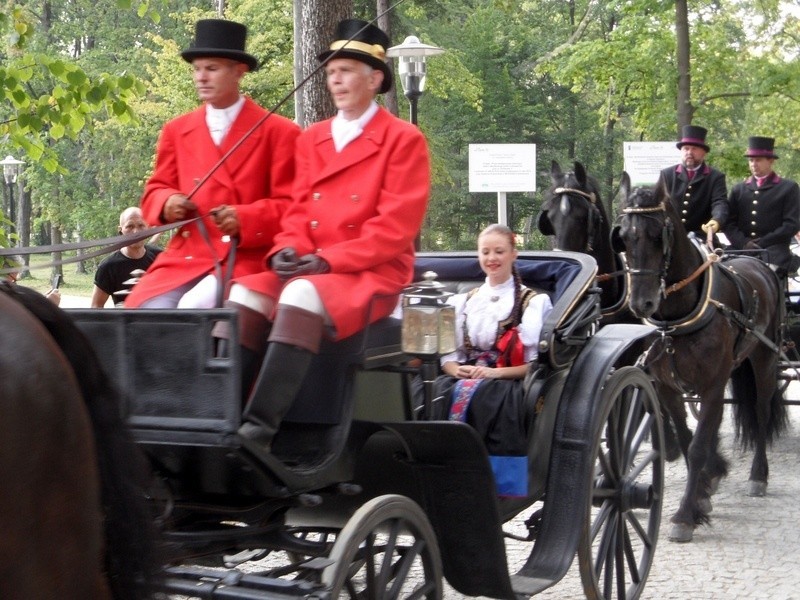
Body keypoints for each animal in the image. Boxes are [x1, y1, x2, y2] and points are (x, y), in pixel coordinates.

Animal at [612, 172, 788, 544]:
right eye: (623, 237)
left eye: (658, 235)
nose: (641, 303)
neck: (676, 320)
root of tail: (757, 261)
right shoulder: (667, 387)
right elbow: (686, 436)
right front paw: (704, 491)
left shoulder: (711, 386)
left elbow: (695, 447)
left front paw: (684, 515)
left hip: (765, 360)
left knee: (762, 412)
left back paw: (758, 475)